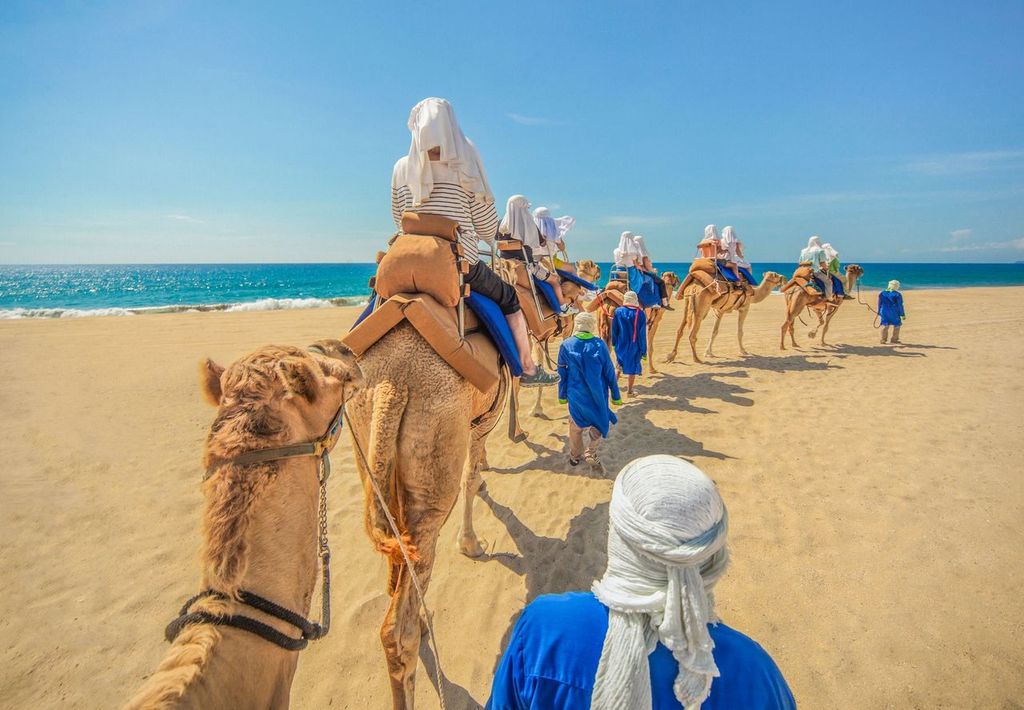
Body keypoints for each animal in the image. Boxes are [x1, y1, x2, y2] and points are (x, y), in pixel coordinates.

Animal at [346, 321, 509, 708]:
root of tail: (393, 386)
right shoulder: (480, 420)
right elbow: (470, 476)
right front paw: (471, 544)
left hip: (368, 443)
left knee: (397, 555)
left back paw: (420, 620)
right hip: (434, 447)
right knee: (396, 632)